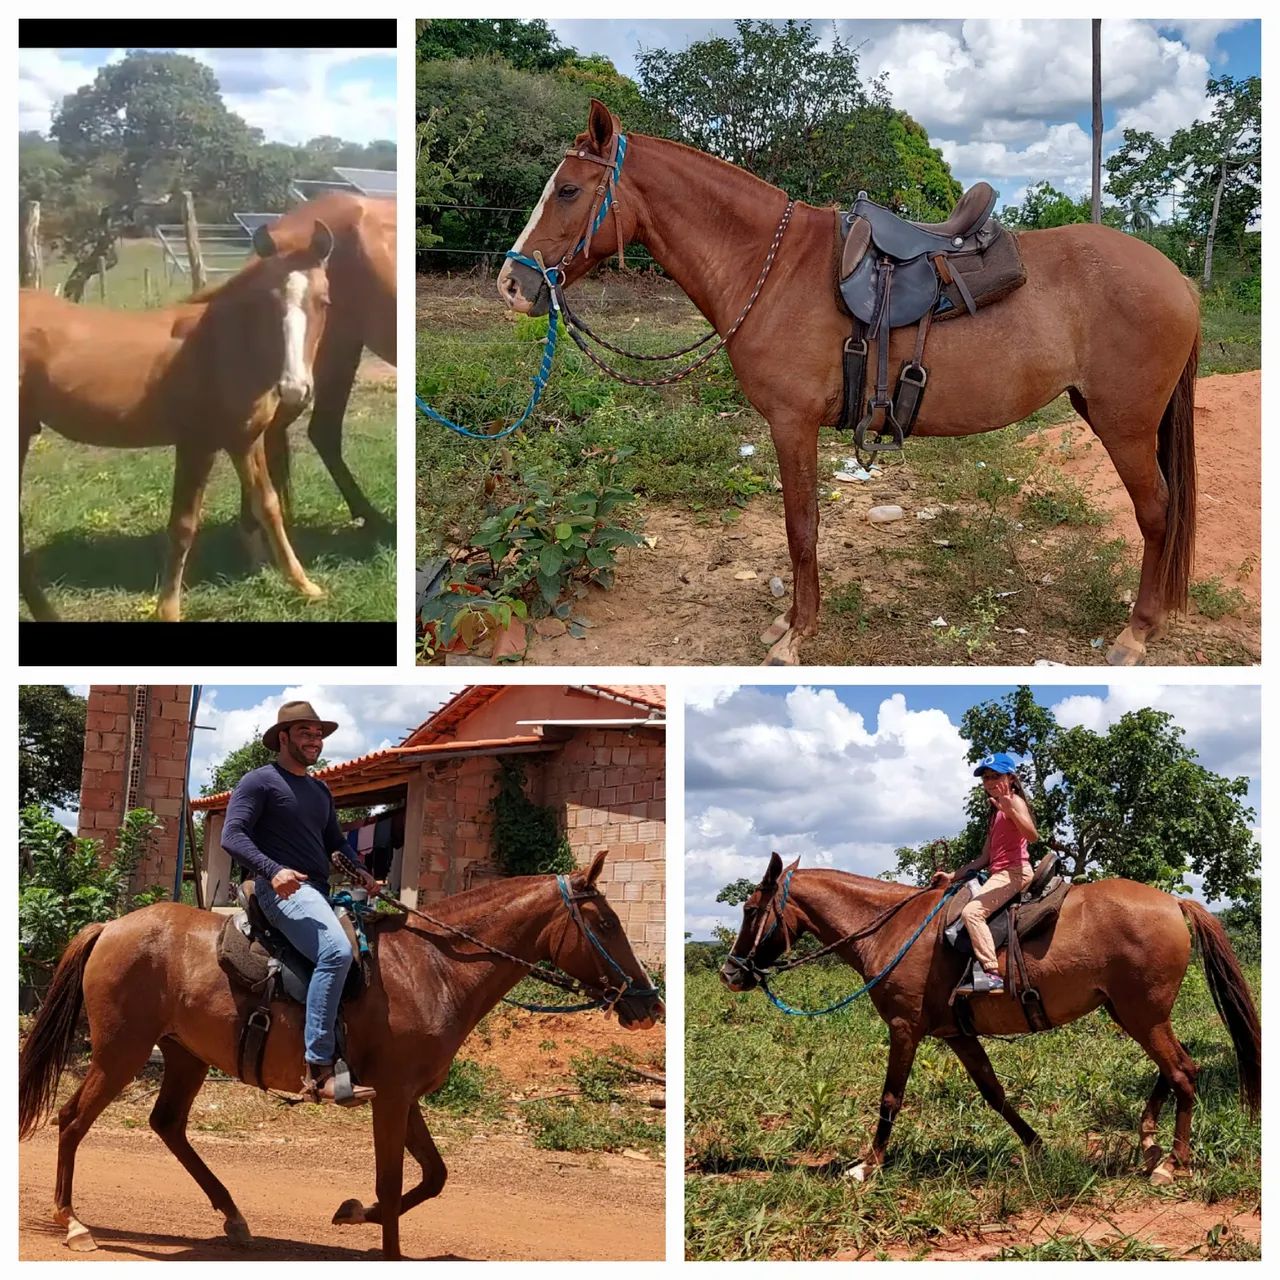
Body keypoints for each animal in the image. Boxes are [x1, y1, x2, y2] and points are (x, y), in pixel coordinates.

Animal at [18, 851, 662, 1259]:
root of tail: (110, 927)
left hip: (184, 1056)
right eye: (606, 922)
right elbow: (392, 1182)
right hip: (121, 1052)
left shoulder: (407, 1097)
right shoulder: (392, 1097)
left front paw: (353, 1213)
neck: (436, 969)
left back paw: (233, 1216)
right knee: (72, 1120)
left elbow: (433, 1177)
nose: (647, 1001)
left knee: (168, 1125)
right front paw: (387, 1248)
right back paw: (73, 1224)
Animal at [19, 220, 335, 622]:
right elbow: (183, 525)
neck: (221, 344)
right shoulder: (196, 443)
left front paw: (305, 586)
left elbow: (268, 505)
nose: (294, 389)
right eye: (267, 302)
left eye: (324, 302)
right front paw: (168, 609)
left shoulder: (244, 440)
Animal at [497, 100, 1201, 666]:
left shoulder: (792, 423)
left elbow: (801, 526)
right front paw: (789, 621)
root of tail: (1177, 278)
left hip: (1125, 425)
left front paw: (797, 634)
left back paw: (1136, 633)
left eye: (568, 190)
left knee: (1156, 511)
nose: (512, 284)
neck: (771, 269)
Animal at [721, 853, 1259, 1184]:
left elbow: (891, 1098)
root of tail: (1174, 902)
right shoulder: (956, 1033)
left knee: (1183, 1071)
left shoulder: (904, 1029)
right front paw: (1037, 1146)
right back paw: (1149, 1140)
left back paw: (1173, 1163)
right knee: (1173, 1069)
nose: (730, 971)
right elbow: (994, 1093)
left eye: (751, 909)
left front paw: (867, 1166)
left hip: (1141, 1013)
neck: (891, 931)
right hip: (1132, 1011)